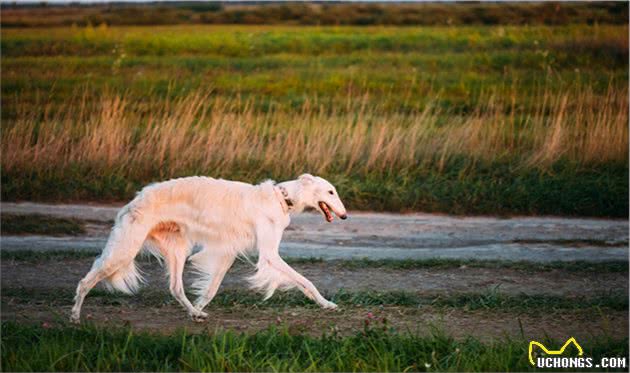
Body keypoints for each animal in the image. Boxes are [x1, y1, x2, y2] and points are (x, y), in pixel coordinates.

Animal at [71, 173, 348, 322]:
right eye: (331, 192)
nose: (345, 216)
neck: (282, 197)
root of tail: (134, 200)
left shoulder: (227, 251)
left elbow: (211, 288)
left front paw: (201, 306)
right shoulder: (269, 255)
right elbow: (305, 281)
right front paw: (326, 303)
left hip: (177, 250)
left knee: (175, 288)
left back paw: (195, 313)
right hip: (126, 248)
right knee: (85, 281)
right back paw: (74, 316)